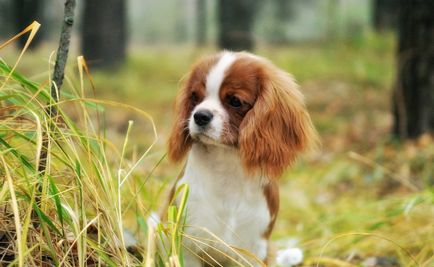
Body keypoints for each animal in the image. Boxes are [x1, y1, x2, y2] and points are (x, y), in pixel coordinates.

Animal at [166, 50, 316, 266]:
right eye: (195, 96)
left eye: (235, 101)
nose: (200, 115)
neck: (226, 165)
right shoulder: (189, 241)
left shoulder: (253, 249)